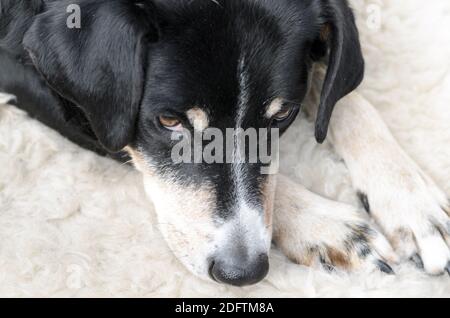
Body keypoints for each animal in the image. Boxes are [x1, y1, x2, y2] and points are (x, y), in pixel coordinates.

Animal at [0, 0, 450, 286]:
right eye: (169, 121)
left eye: (282, 116)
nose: (242, 274)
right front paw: (327, 226)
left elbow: (342, 88)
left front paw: (413, 201)